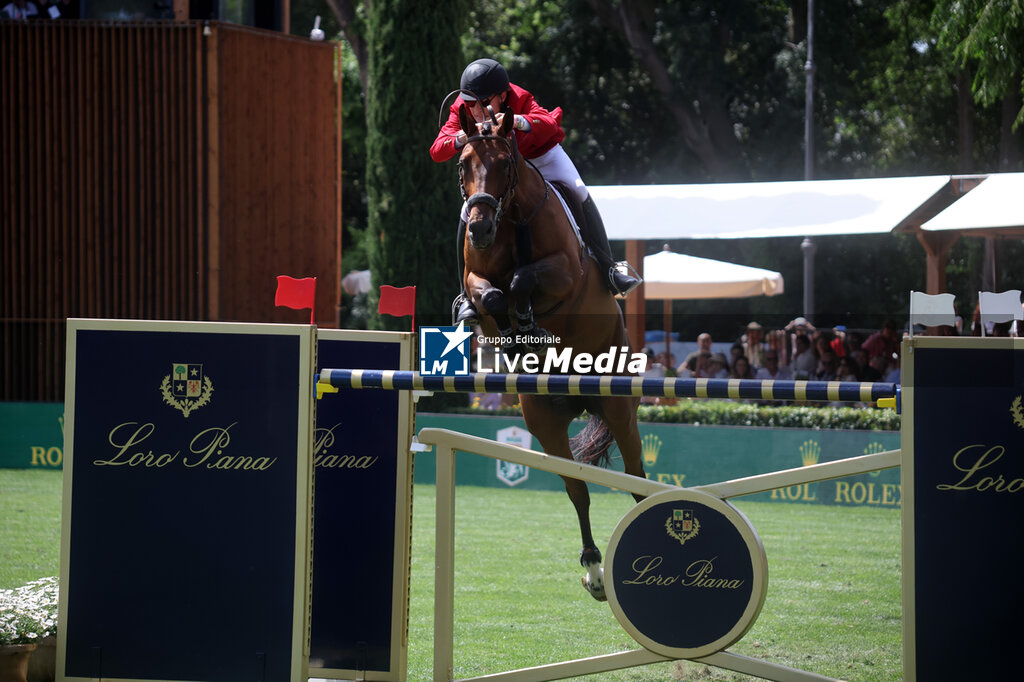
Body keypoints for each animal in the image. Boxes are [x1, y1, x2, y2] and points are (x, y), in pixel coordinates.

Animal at [458, 103, 647, 598]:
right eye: (463, 165)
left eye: (505, 164)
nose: (479, 228)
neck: (511, 221)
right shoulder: (475, 278)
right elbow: (491, 296)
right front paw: (514, 330)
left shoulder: (566, 273)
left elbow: (523, 280)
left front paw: (525, 319)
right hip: (543, 419)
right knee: (577, 488)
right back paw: (594, 569)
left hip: (619, 406)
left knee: (637, 480)